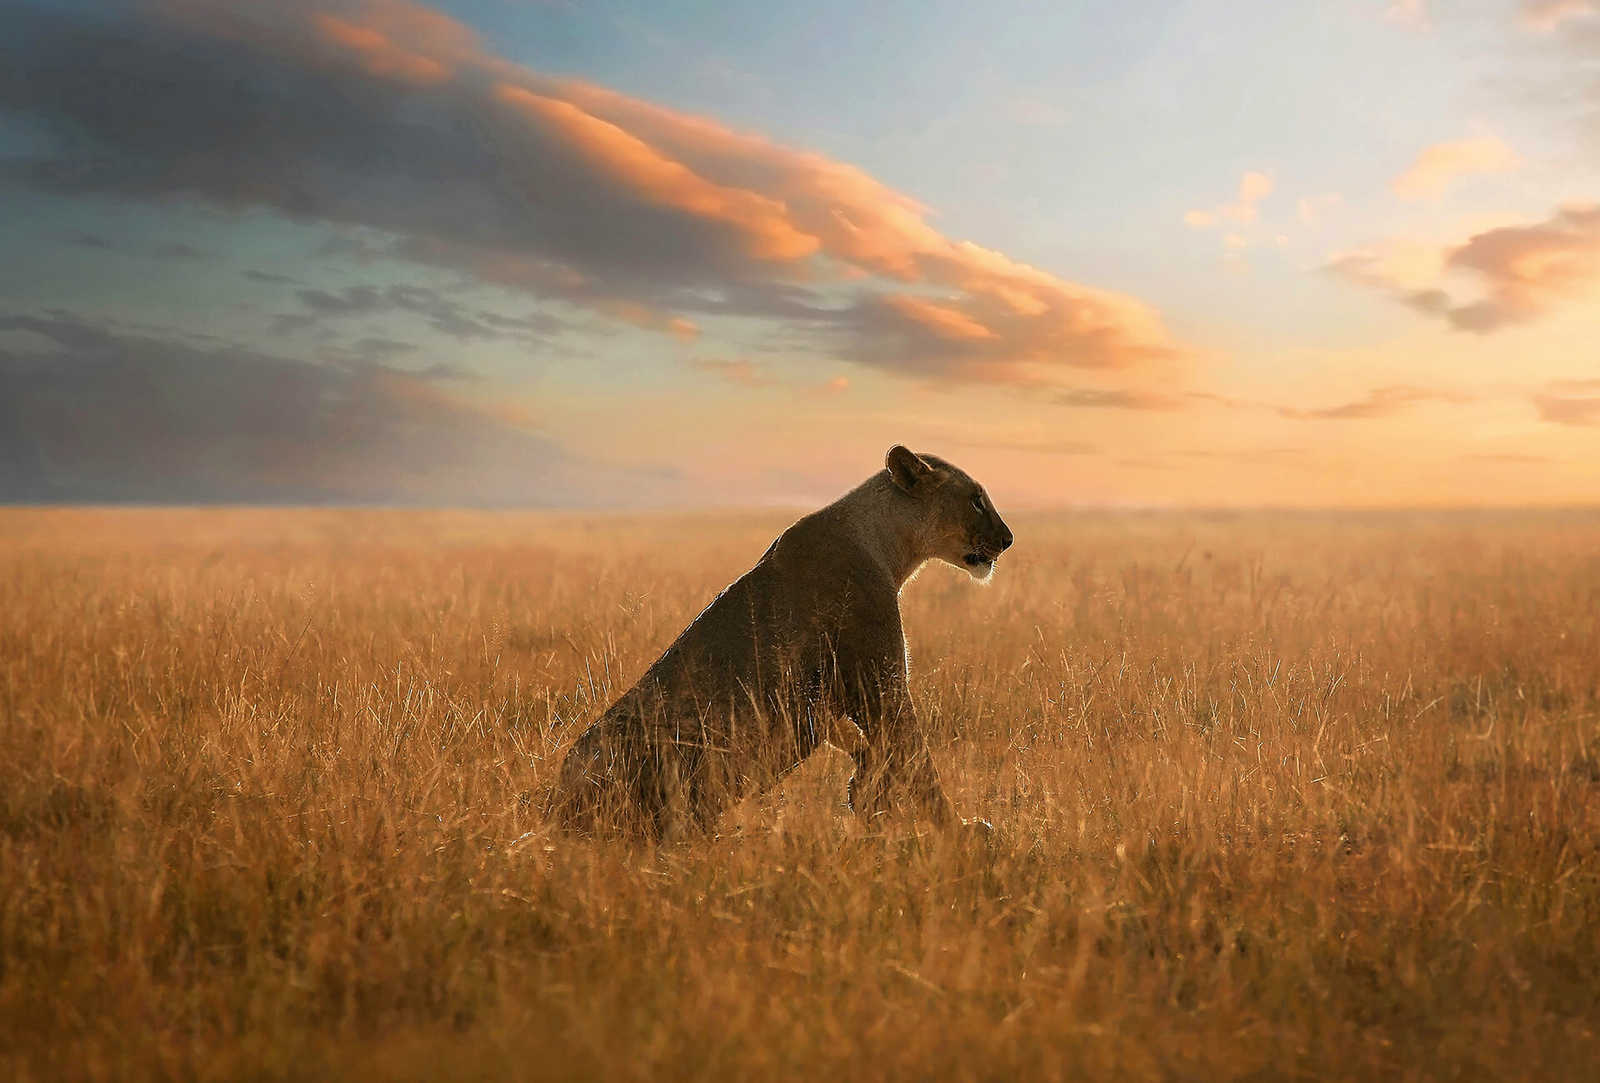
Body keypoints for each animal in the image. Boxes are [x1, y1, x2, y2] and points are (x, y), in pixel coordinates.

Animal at [546, 444, 1014, 839]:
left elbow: (867, 747)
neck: (887, 544)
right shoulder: (879, 679)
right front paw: (960, 829)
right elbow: (918, 760)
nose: (1008, 538)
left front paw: (867, 789)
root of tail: (553, 813)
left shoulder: (827, 698)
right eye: (976, 499)